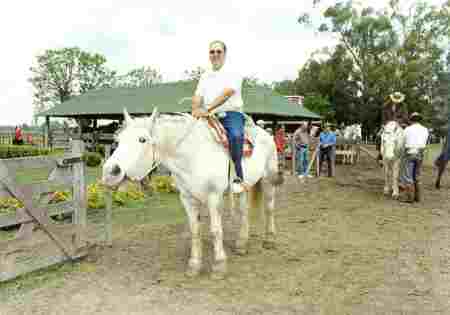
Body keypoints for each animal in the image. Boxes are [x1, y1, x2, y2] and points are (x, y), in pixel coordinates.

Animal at [103, 108, 284, 278]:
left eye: (142, 139)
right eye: (118, 140)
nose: (110, 172)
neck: (193, 155)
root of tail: (265, 133)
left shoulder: (214, 197)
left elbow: (216, 230)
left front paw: (219, 266)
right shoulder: (187, 198)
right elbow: (195, 230)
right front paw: (194, 265)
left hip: (268, 180)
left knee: (269, 208)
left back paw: (270, 240)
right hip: (244, 188)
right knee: (244, 211)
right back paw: (241, 244)